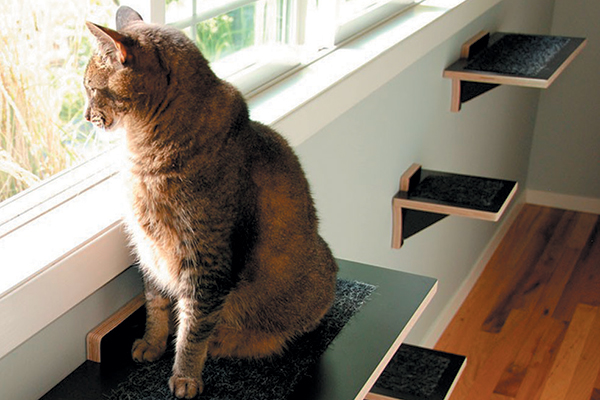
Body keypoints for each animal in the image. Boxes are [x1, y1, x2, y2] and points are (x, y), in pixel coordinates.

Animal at [84, 6, 338, 400]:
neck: (143, 154)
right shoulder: (149, 249)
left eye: (91, 88)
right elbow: (155, 303)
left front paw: (185, 375)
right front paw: (152, 343)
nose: (85, 116)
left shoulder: (207, 261)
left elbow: (193, 328)